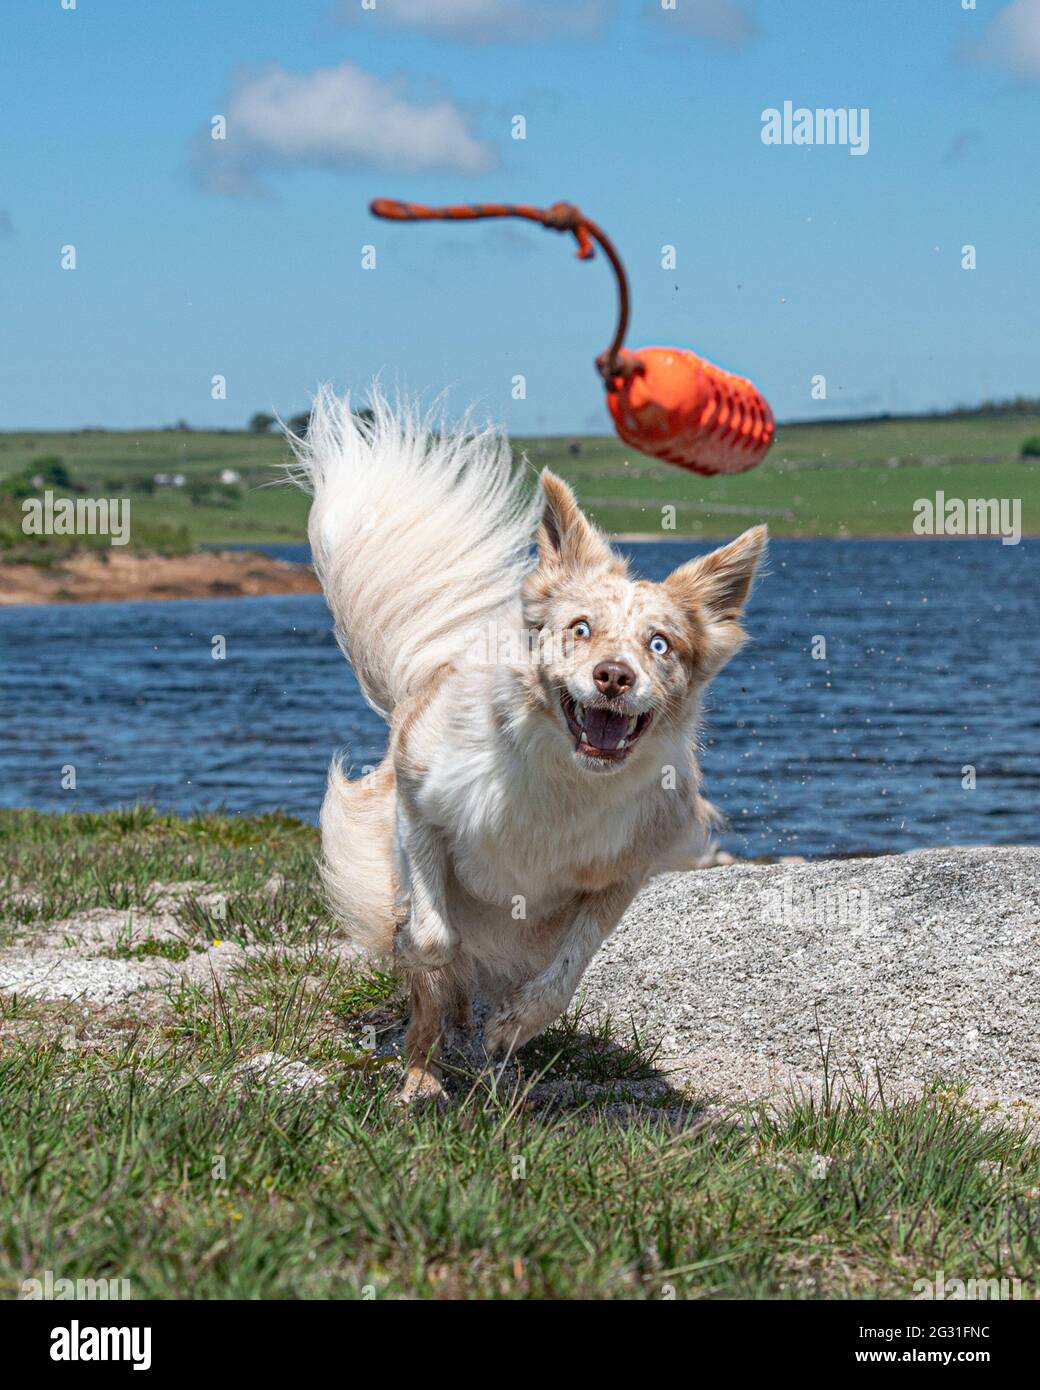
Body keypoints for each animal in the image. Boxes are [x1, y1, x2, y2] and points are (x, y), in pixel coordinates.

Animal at [296, 386, 767, 1100]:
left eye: (660, 644)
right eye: (580, 628)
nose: (614, 676)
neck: (565, 777)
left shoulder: (623, 873)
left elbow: (561, 979)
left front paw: (510, 1030)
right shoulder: (418, 805)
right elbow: (431, 938)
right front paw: (423, 973)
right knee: (432, 982)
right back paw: (422, 1075)